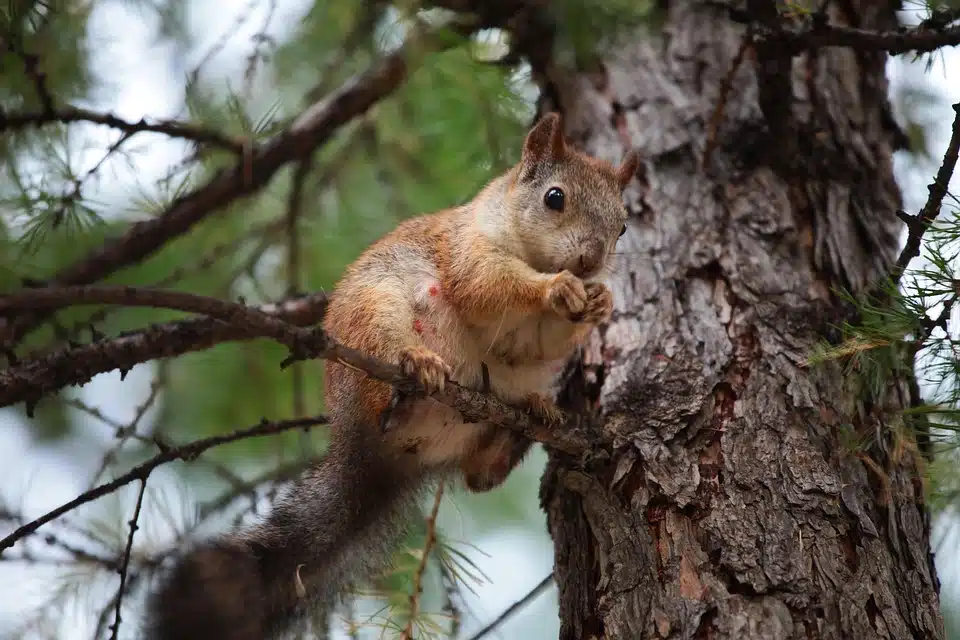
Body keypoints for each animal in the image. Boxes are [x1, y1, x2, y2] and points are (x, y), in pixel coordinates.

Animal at [144, 115, 636, 640]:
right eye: (554, 197)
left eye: (624, 225)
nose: (591, 260)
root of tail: (367, 449)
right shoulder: (466, 250)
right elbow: (489, 286)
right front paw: (555, 288)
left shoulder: (535, 339)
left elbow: (540, 344)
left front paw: (599, 300)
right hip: (374, 317)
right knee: (395, 387)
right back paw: (416, 373)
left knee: (480, 475)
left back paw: (528, 417)